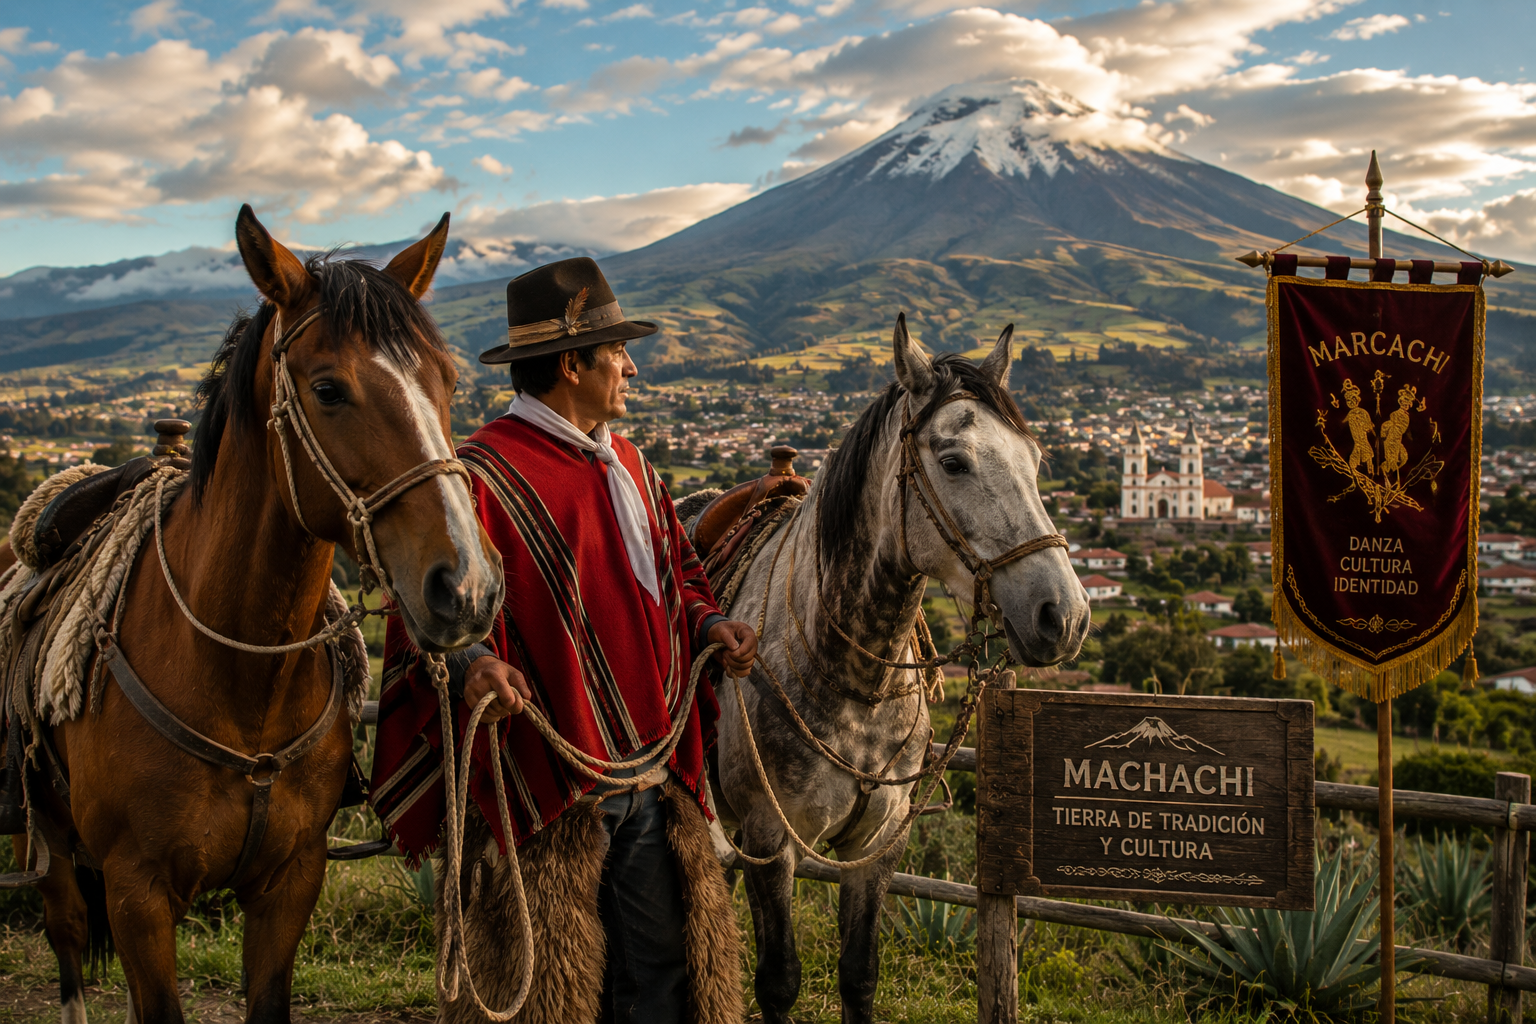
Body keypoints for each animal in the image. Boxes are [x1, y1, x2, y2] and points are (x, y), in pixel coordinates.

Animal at [15, 206, 502, 1024]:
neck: (240, 681)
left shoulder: (291, 881)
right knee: (67, 933)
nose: (465, 586)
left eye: (447, 381)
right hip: (49, 831)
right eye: (329, 388)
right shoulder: (137, 894)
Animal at [711, 314, 1090, 1024]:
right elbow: (778, 981)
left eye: (1034, 462)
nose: (1066, 615)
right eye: (954, 462)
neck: (857, 683)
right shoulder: (770, 839)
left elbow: (860, 975)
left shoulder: (877, 845)